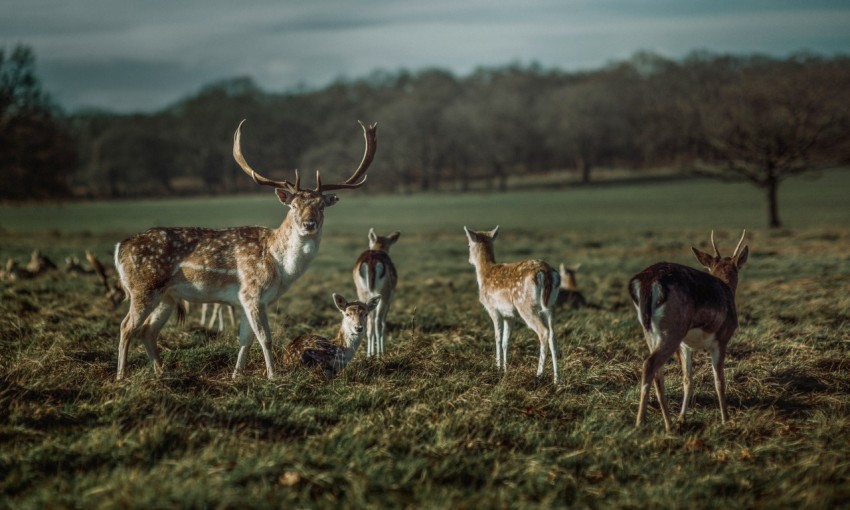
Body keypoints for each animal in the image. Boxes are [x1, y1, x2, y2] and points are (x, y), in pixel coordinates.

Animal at [113, 119, 378, 380]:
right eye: (293, 205)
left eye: (321, 206)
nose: (309, 224)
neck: (279, 266)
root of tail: (119, 248)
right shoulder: (252, 292)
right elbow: (265, 338)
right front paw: (273, 376)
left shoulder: (243, 300)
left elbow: (245, 340)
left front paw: (235, 376)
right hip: (143, 287)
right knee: (126, 326)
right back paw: (121, 376)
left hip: (167, 296)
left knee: (147, 331)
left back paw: (161, 373)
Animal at [460, 226, 560, 382]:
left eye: (469, 245)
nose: (469, 259)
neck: (484, 274)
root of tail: (547, 273)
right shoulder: (510, 315)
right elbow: (506, 341)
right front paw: (505, 369)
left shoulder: (493, 309)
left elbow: (497, 338)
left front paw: (497, 367)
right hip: (551, 305)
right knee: (553, 336)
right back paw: (556, 379)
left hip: (525, 305)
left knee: (544, 332)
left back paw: (539, 374)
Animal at [628, 229, 744, 432]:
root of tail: (646, 282)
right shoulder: (721, 339)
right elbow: (719, 380)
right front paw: (726, 420)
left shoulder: (685, 346)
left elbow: (687, 380)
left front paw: (682, 418)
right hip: (673, 331)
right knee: (649, 364)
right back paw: (641, 422)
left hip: (650, 332)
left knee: (657, 373)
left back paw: (669, 424)